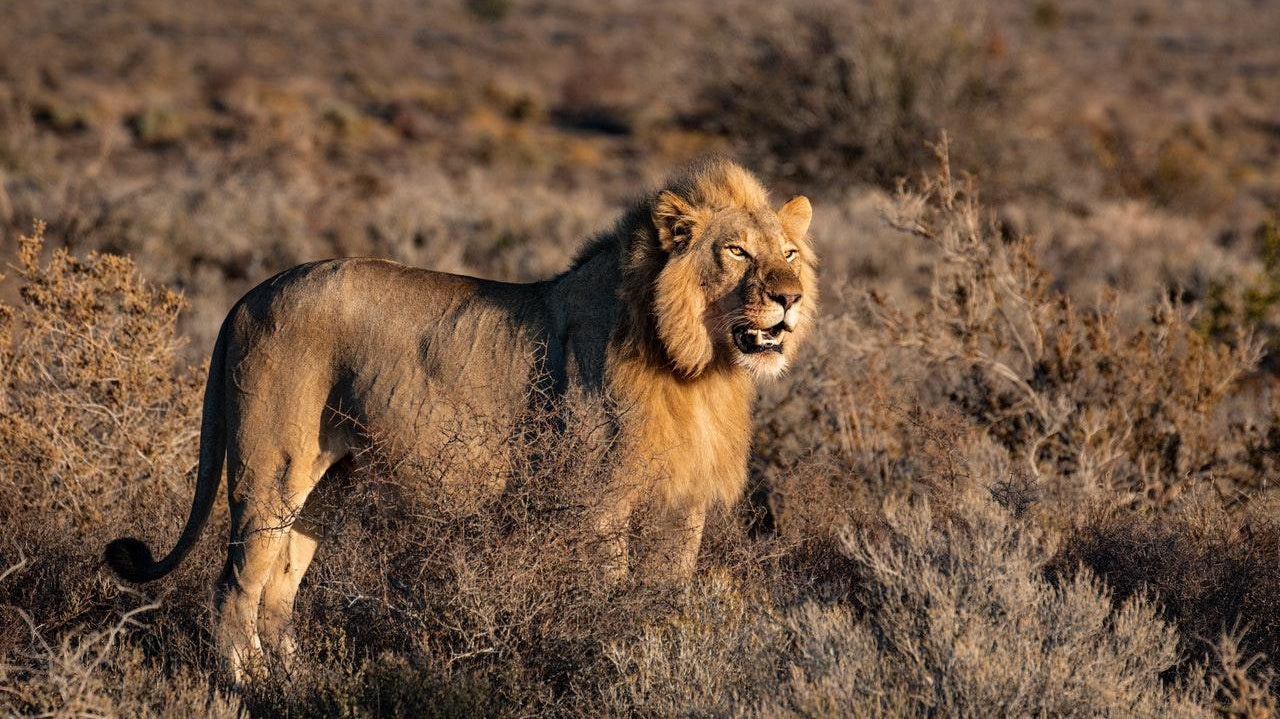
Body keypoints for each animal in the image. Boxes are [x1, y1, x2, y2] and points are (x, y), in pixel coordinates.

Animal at [104, 158, 817, 681]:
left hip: (327, 484)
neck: (698, 367)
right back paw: (248, 686)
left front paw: (661, 653)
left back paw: (297, 680)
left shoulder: (681, 505)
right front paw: (612, 658)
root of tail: (247, 297)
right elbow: (610, 596)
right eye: (737, 252)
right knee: (234, 587)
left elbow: (666, 597)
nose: (790, 298)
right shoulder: (599, 503)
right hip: (269, 469)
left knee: (279, 589)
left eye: (788, 253)